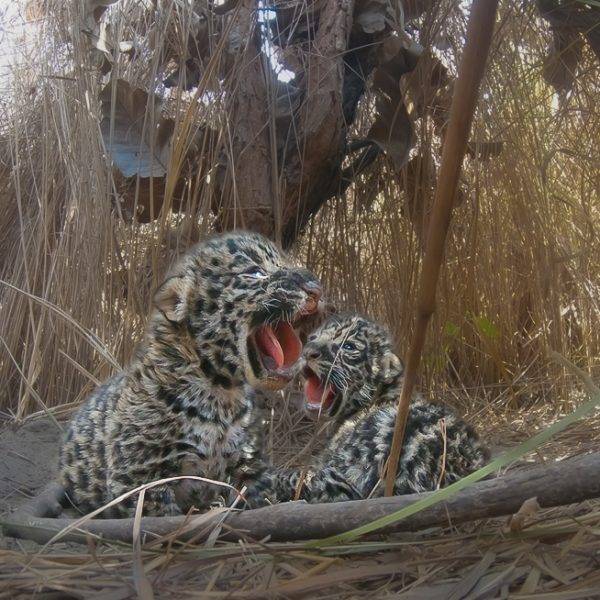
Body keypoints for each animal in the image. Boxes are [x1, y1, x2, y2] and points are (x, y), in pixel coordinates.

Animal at [58, 231, 323, 516]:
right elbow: (160, 512)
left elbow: (256, 492)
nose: (316, 288)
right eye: (255, 273)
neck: (222, 395)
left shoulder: (249, 463)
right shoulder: (140, 476)